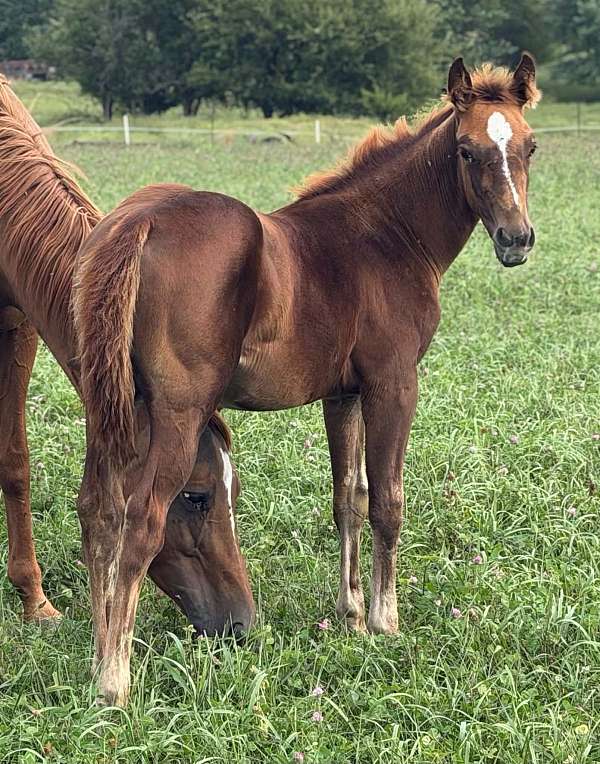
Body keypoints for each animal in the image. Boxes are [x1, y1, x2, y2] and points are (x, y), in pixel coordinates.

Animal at [73, 55, 540, 705]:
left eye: (530, 145)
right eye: (467, 151)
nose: (516, 240)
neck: (386, 236)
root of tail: (141, 222)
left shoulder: (342, 395)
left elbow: (349, 498)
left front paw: (350, 616)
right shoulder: (394, 384)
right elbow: (388, 500)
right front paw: (385, 622)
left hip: (109, 407)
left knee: (97, 511)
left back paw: (98, 654)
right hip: (176, 412)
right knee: (141, 521)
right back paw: (114, 682)